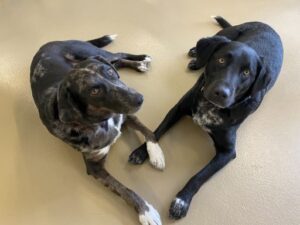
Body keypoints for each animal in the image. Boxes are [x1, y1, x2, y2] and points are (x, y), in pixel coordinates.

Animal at [29, 34, 165, 225]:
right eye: (94, 91)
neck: (102, 122)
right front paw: (145, 211)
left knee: (117, 56)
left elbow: (148, 131)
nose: (140, 98)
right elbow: (124, 190)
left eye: (109, 74)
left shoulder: (126, 116)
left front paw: (156, 154)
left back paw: (140, 61)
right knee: (118, 59)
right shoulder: (95, 167)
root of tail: (48, 43)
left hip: (93, 53)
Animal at [129, 16, 284, 220]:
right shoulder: (177, 109)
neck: (210, 108)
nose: (221, 93)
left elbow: (200, 175)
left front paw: (182, 200)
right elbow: (155, 132)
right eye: (221, 60)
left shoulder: (227, 152)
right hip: (225, 34)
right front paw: (142, 151)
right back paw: (196, 55)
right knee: (208, 44)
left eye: (246, 73)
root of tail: (268, 26)